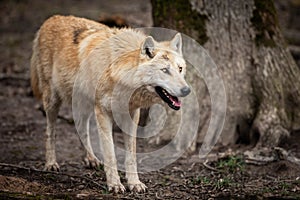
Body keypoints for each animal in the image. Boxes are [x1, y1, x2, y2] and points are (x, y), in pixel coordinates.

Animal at [30, 15, 190, 194]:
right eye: (164, 70)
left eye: (180, 69)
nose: (186, 90)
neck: (119, 74)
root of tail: (51, 19)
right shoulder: (103, 113)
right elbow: (110, 154)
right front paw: (115, 185)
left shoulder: (132, 114)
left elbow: (131, 155)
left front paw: (134, 183)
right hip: (52, 101)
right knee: (50, 132)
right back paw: (51, 163)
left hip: (83, 105)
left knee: (82, 128)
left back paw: (91, 159)